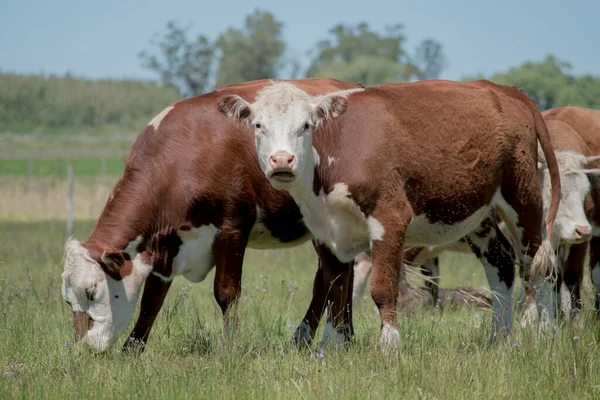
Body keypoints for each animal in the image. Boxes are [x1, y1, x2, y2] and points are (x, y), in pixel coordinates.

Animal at [219, 79, 564, 348]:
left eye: (305, 126)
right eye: (258, 125)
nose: (282, 161)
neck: (336, 155)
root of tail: (505, 90)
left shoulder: (390, 219)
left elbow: (382, 288)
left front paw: (389, 343)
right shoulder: (325, 230)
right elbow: (335, 288)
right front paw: (333, 345)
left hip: (523, 199)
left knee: (538, 265)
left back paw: (544, 333)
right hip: (480, 214)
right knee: (501, 263)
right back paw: (499, 338)